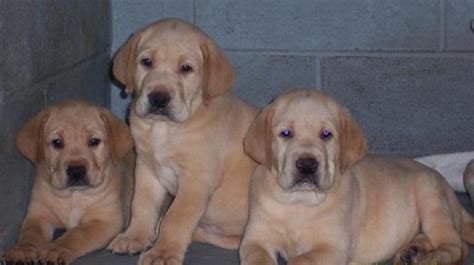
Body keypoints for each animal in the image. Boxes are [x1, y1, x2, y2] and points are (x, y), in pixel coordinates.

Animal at [2, 99, 135, 264]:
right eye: (57, 142)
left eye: (94, 141)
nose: (76, 170)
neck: (74, 196)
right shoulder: (38, 216)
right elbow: (30, 234)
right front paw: (22, 249)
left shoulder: (105, 221)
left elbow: (76, 234)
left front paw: (56, 248)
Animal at [106, 18, 260, 264]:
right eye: (146, 62)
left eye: (186, 68)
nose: (159, 99)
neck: (163, 129)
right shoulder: (147, 168)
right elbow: (141, 205)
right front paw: (134, 236)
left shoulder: (196, 180)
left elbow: (176, 218)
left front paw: (163, 253)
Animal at [241, 89, 474, 264]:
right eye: (286, 134)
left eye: (326, 135)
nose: (307, 165)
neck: (300, 201)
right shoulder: (255, 239)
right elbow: (257, 258)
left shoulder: (332, 247)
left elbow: (301, 260)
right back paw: (412, 251)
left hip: (431, 198)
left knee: (455, 245)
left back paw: (433, 258)